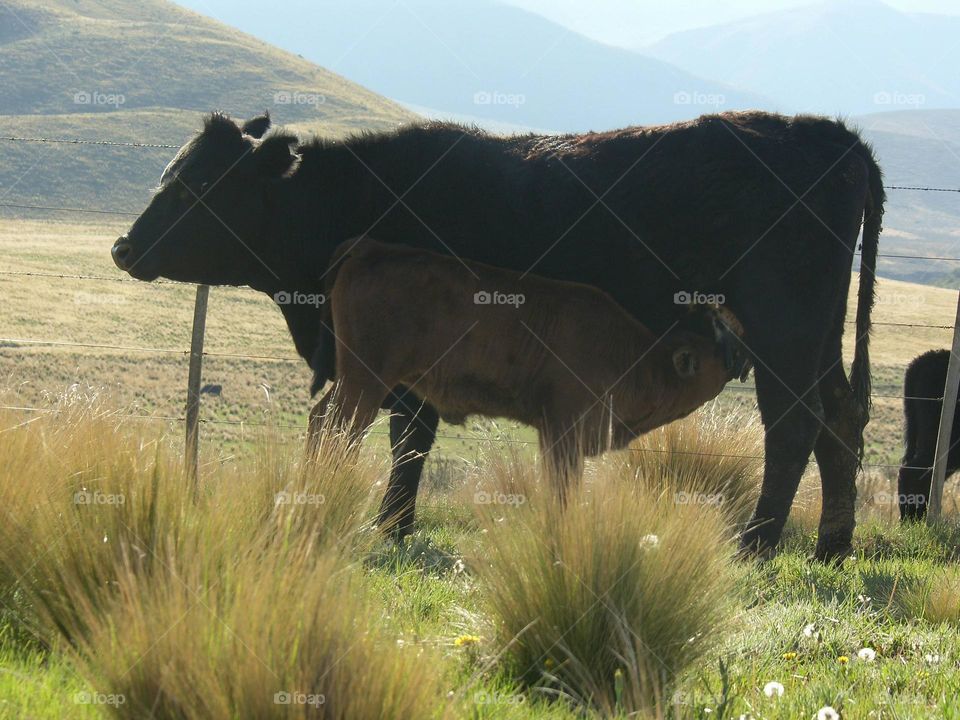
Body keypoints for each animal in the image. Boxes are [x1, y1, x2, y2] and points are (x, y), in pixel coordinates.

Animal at [312, 242, 748, 500]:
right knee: (342, 426)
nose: (745, 348)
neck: (641, 358)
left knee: (321, 417)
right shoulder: (563, 431)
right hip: (366, 381)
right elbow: (562, 488)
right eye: (722, 344)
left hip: (356, 380)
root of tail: (370, 248)